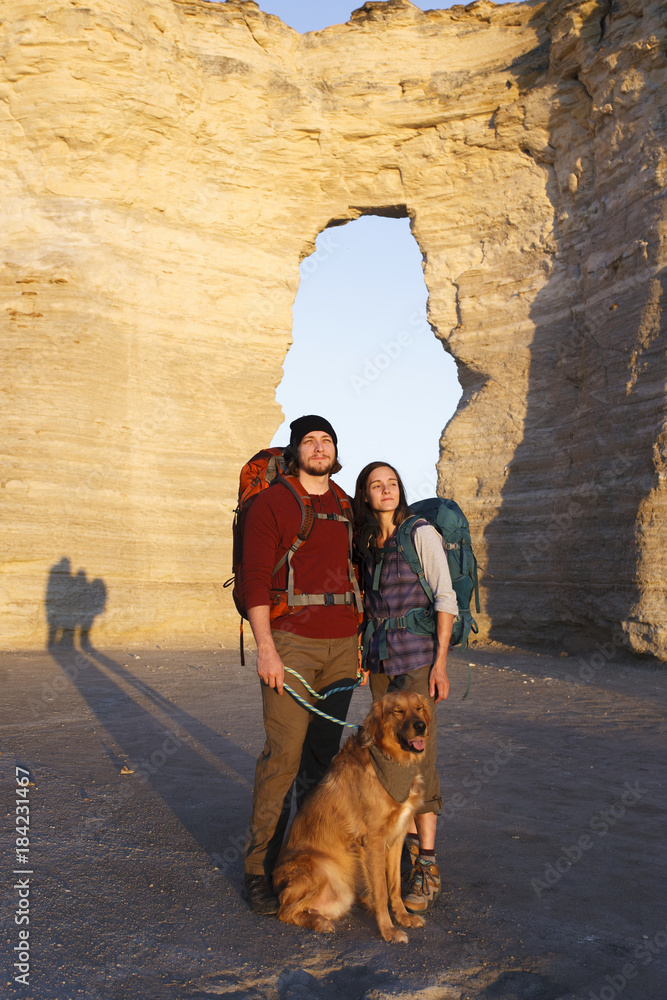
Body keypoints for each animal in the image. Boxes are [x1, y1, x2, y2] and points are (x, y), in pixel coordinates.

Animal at [274, 692, 430, 940]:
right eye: (398, 711)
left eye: (419, 708)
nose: (421, 726)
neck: (392, 761)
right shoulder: (373, 841)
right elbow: (382, 891)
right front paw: (388, 930)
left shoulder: (397, 837)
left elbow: (394, 885)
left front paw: (403, 917)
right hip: (317, 869)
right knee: (284, 910)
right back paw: (318, 922)